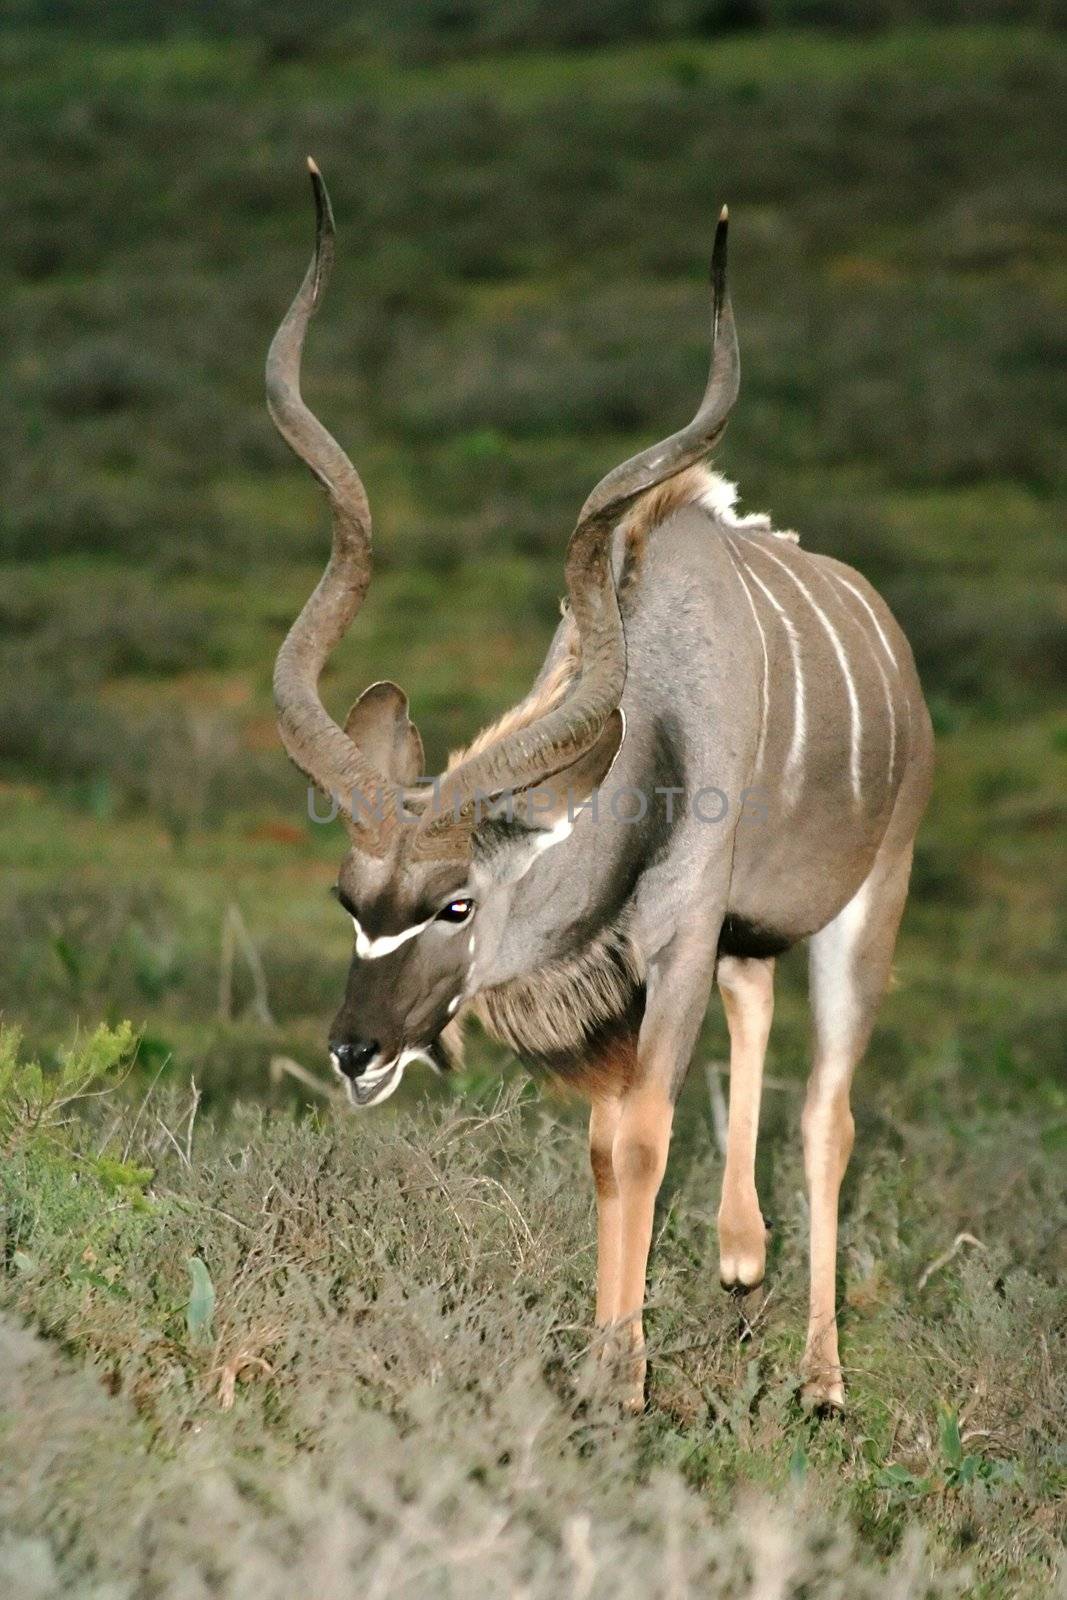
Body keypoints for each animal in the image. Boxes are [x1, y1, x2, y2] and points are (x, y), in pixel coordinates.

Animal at [268, 162, 934, 1414]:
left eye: (457, 902)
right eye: (346, 897)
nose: (355, 1051)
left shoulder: (674, 939)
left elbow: (638, 1141)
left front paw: (616, 1381)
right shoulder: (645, 968)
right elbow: (608, 1141)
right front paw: (615, 1347)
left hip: (867, 901)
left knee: (826, 1114)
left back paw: (820, 1379)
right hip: (747, 935)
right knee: (755, 1008)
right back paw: (738, 1258)